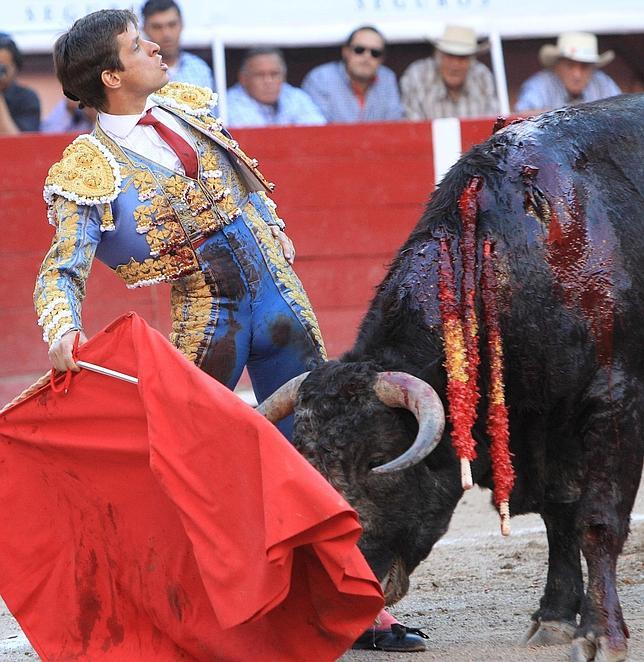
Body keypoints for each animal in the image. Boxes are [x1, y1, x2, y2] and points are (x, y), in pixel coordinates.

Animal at [260, 93, 644, 662]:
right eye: (303, 462)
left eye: (378, 460)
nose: (333, 587)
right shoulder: (543, 423)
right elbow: (559, 517)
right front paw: (553, 620)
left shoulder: (613, 401)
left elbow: (596, 520)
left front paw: (599, 635)